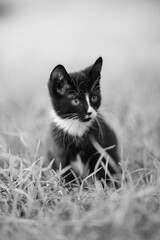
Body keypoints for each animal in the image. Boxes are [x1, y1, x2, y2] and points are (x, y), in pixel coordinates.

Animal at [44, 57, 121, 185]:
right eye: (76, 101)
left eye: (94, 98)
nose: (90, 112)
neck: (76, 128)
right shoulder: (59, 151)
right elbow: (66, 174)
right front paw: (70, 188)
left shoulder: (100, 148)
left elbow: (100, 171)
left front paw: (101, 187)